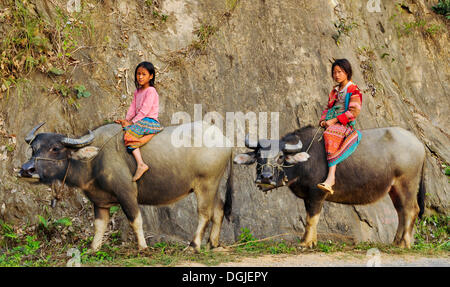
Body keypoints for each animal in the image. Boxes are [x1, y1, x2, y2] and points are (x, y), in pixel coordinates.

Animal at [18, 121, 232, 252]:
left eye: (55, 148)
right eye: (33, 148)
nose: (26, 170)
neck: (94, 161)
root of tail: (224, 139)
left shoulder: (127, 193)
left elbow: (135, 220)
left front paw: (143, 247)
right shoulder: (100, 201)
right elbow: (99, 225)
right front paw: (93, 248)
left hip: (206, 184)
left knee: (204, 213)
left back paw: (194, 245)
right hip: (214, 184)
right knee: (218, 209)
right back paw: (213, 244)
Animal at [234, 126, 428, 250]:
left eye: (281, 156)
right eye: (258, 155)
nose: (265, 177)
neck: (305, 161)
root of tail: (419, 144)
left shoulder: (317, 193)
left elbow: (312, 218)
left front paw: (306, 243)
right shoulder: (308, 197)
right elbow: (309, 218)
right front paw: (309, 241)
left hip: (407, 184)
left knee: (411, 210)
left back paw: (404, 243)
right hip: (394, 189)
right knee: (401, 212)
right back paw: (396, 242)